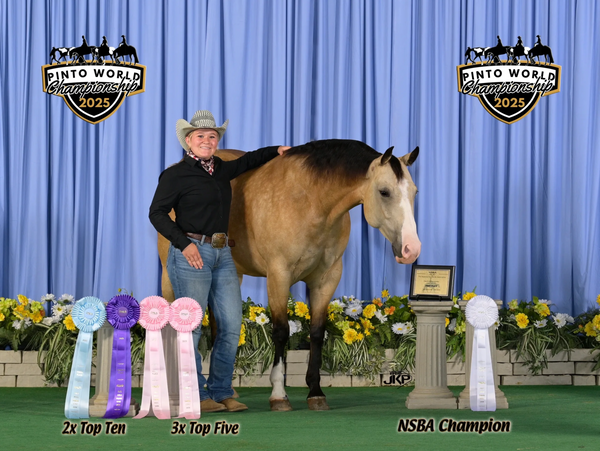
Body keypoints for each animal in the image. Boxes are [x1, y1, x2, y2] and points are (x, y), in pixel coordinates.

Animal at [157, 139, 421, 411]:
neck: (309, 201)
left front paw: (315, 392)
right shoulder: (278, 275)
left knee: (220, 329)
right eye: (384, 192)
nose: (411, 249)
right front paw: (278, 394)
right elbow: (281, 332)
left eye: (414, 192)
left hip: (232, 275)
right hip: (170, 277)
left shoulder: (326, 279)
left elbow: (317, 333)